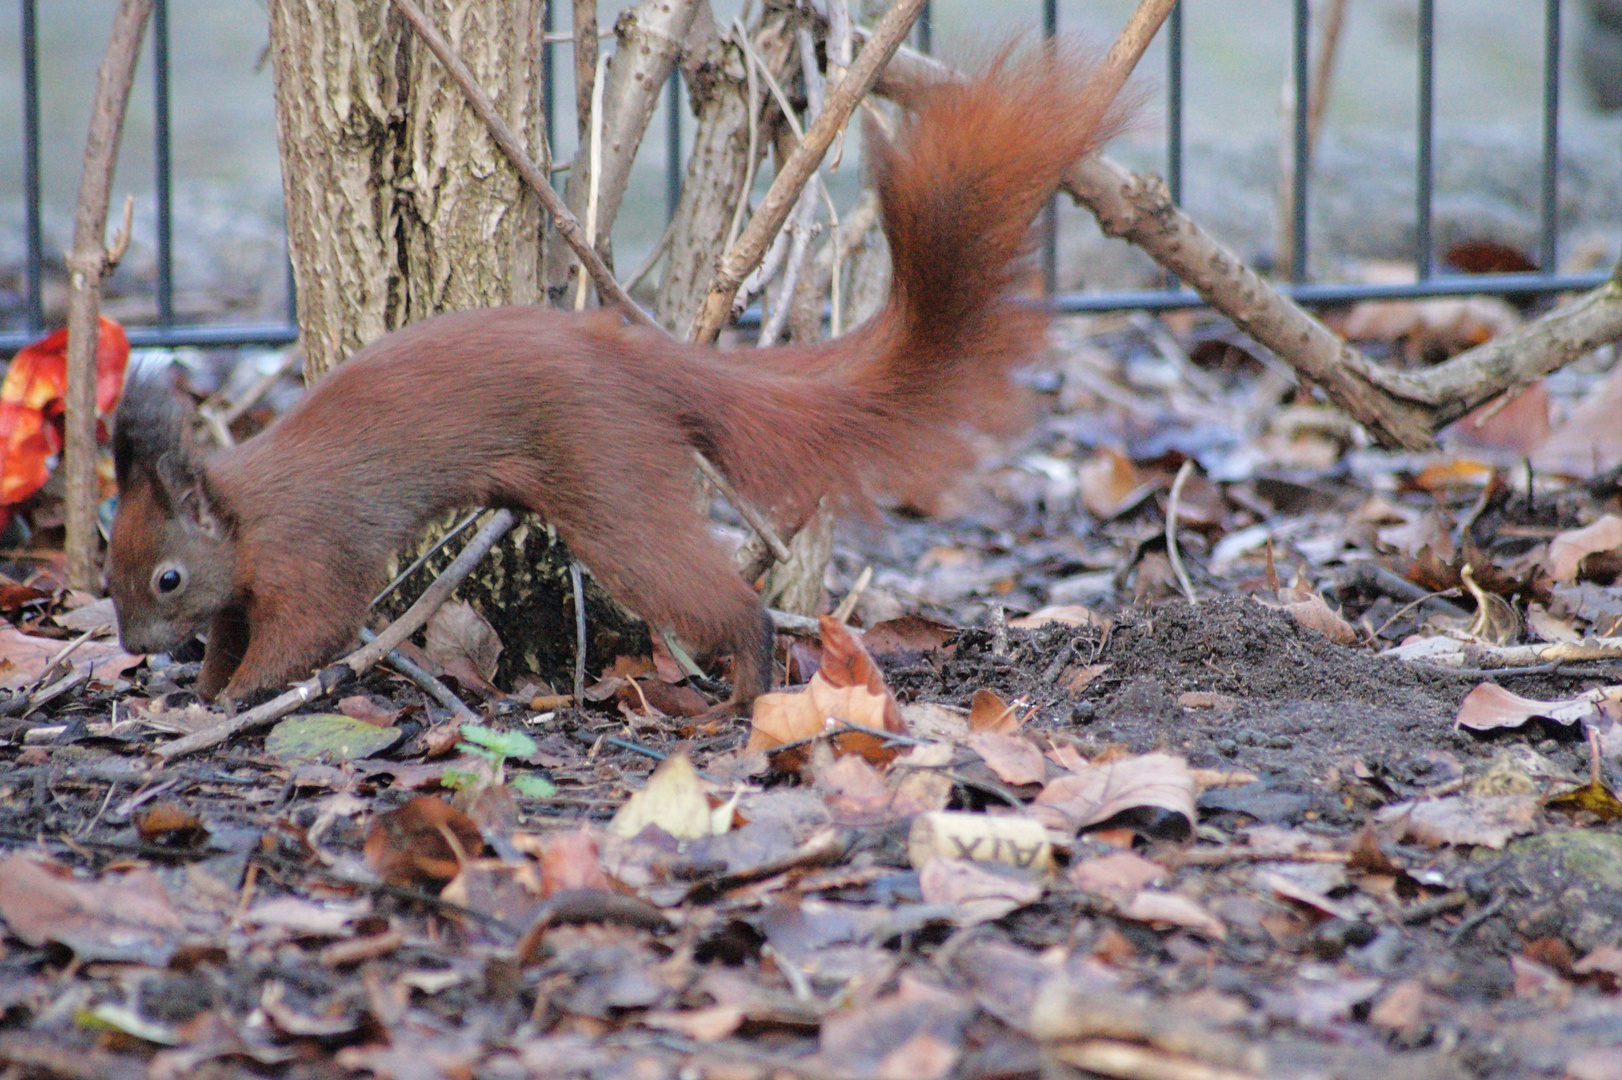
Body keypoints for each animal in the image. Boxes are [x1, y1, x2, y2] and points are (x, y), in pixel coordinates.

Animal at [111, 46, 1128, 707]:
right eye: (108, 560)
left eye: (165, 579)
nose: (128, 647)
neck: (244, 509)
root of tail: (638, 358)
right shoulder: (246, 586)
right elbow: (235, 628)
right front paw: (202, 685)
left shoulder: (312, 555)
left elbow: (310, 629)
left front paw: (234, 696)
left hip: (611, 481)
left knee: (722, 599)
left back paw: (746, 690)